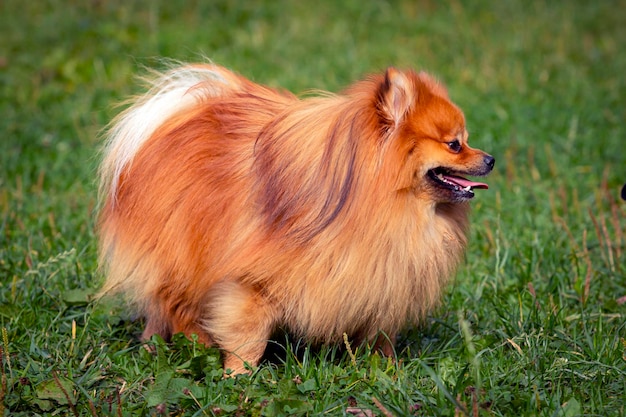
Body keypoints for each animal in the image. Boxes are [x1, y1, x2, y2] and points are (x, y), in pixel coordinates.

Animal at [97, 62, 492, 374]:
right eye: (454, 144)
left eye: (466, 139)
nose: (489, 159)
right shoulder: (252, 283)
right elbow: (247, 337)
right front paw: (237, 376)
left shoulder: (382, 276)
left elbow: (380, 333)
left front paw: (387, 367)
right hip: (183, 255)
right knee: (176, 304)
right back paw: (196, 345)